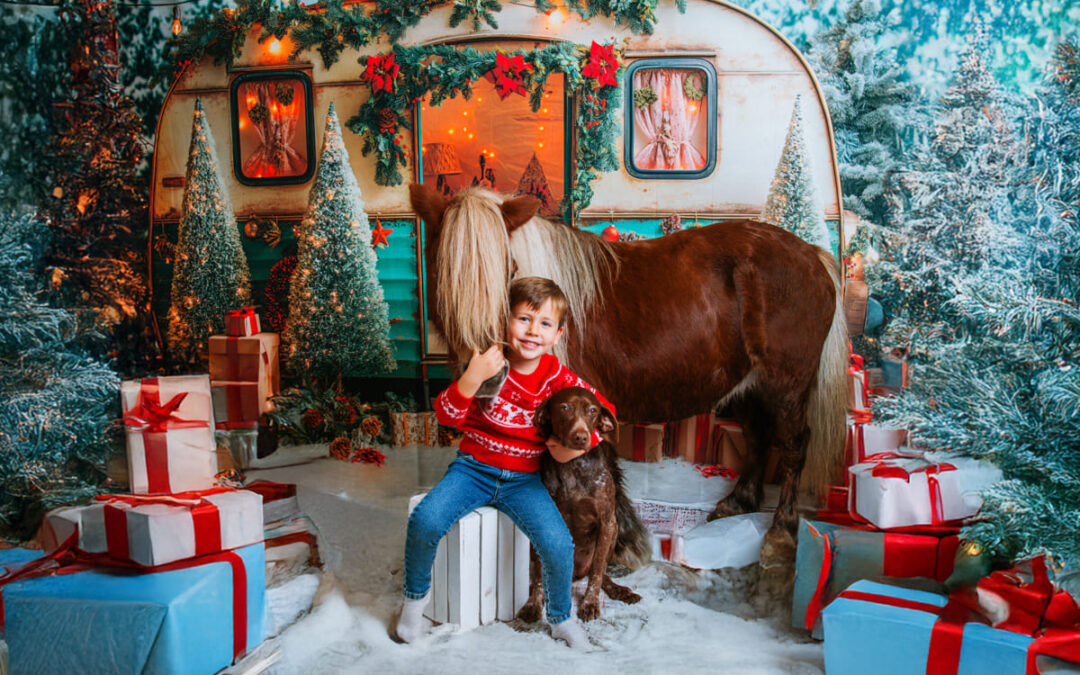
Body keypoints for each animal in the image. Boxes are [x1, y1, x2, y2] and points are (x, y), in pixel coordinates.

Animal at [408, 182, 846, 561]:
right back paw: (739, 502)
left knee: (793, 446)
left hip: (787, 385)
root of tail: (813, 255)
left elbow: (603, 473)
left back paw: (782, 529)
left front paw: (620, 543)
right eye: (442, 274)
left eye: (510, 269)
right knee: (757, 437)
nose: (486, 375)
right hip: (752, 385)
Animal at [514, 384, 648, 622]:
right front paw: (533, 604)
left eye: (593, 411)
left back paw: (620, 590)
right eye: (564, 408)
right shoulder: (543, 527)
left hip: (613, 534)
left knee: (602, 574)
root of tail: (574, 576)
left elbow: (596, 574)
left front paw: (590, 603)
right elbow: (539, 574)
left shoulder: (607, 523)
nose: (581, 437)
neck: (573, 465)